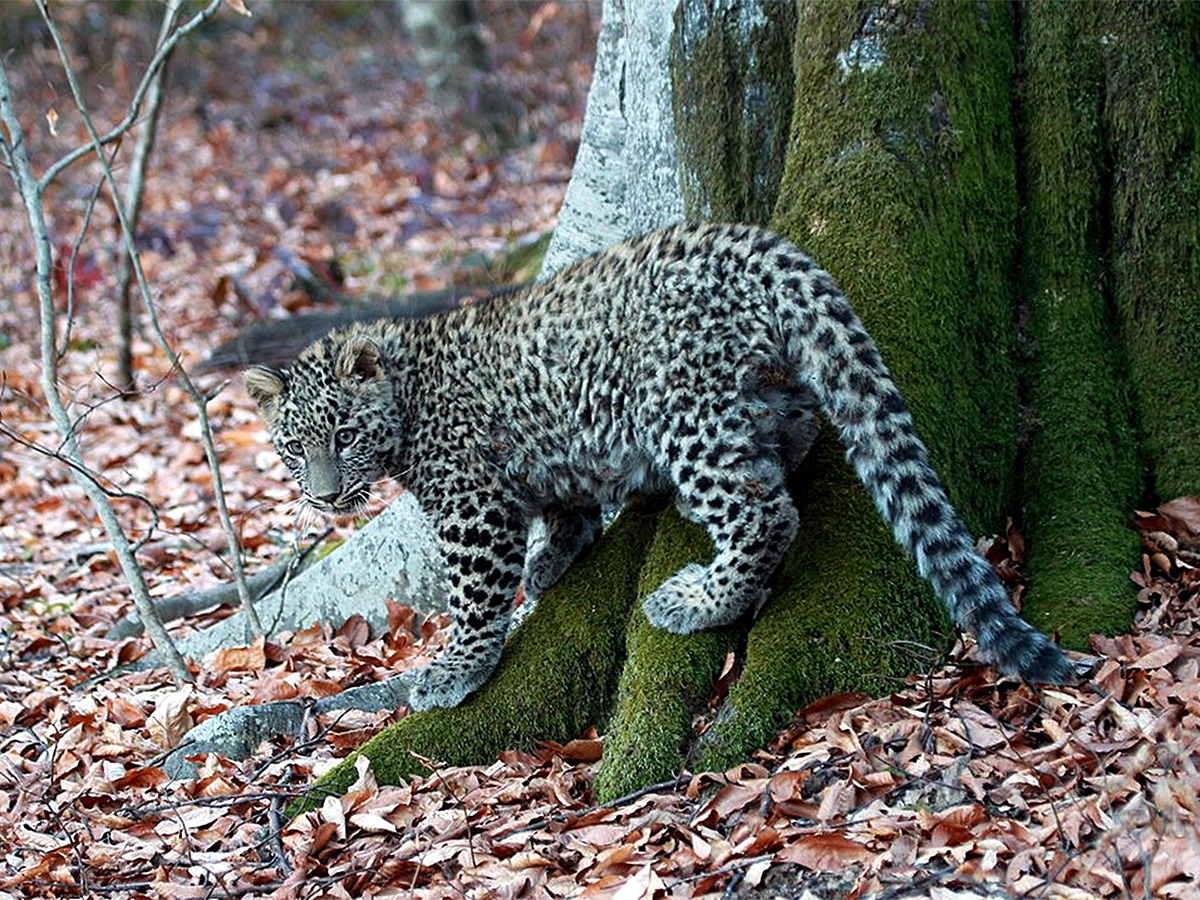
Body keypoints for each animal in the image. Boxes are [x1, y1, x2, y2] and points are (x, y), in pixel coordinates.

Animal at [243, 220, 1080, 710]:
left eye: (342, 435)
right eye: (294, 448)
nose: (324, 498)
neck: (406, 394)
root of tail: (760, 246)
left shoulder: (472, 507)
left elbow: (475, 596)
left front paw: (454, 671)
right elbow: (567, 503)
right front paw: (555, 557)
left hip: (682, 407)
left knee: (764, 511)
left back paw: (698, 600)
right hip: (752, 383)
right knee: (795, 429)